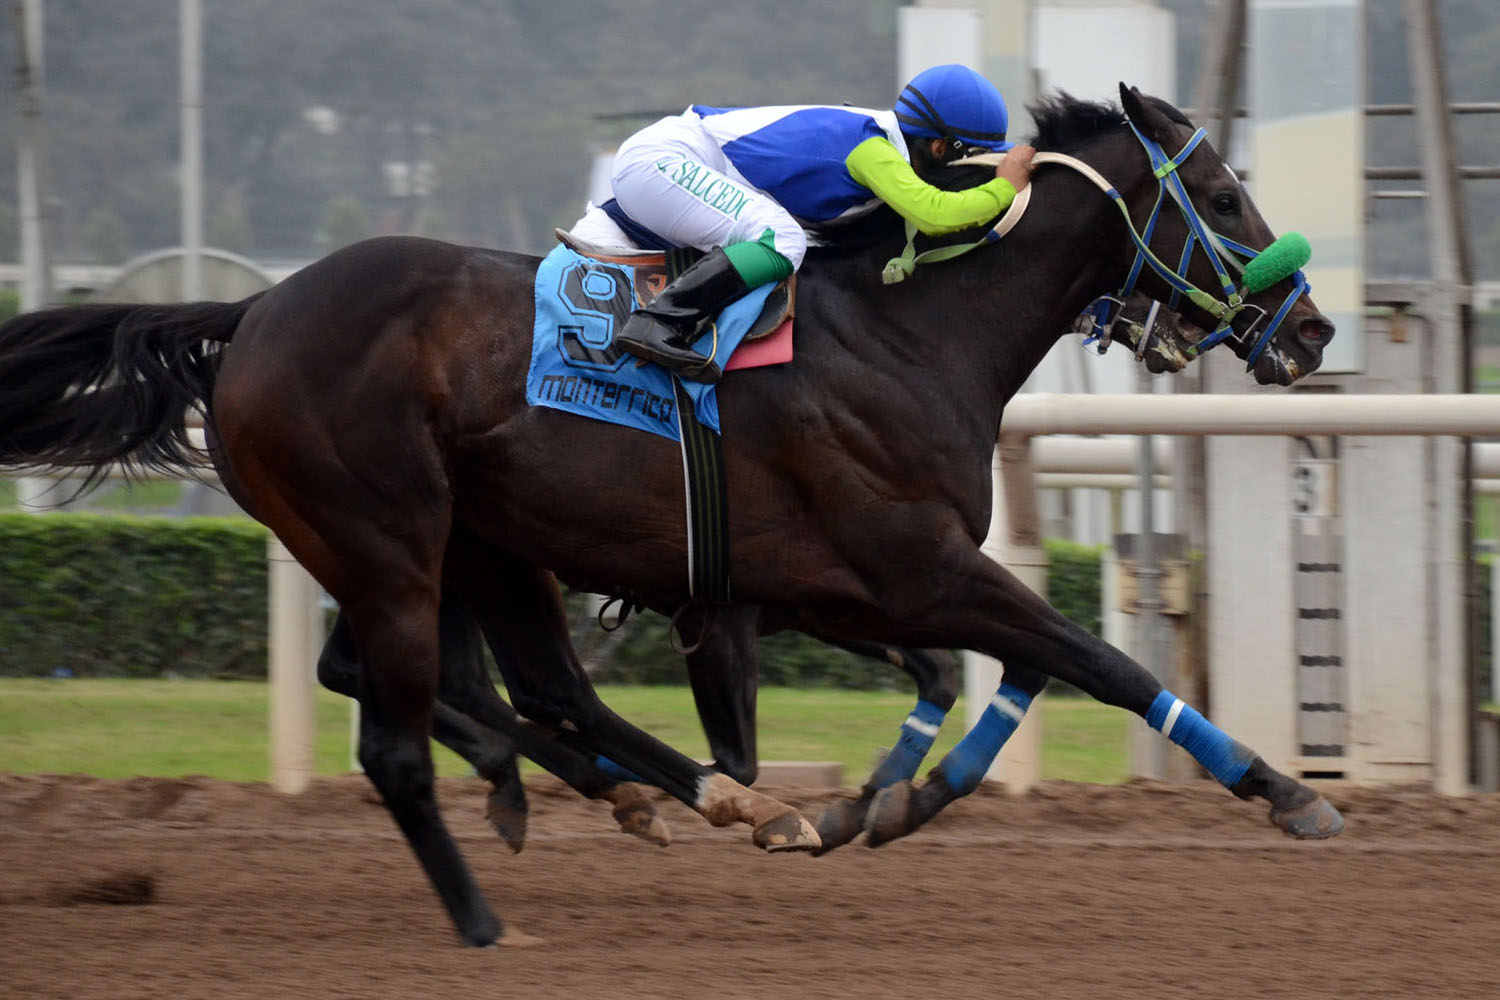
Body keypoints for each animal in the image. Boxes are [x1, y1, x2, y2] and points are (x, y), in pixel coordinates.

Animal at [0, 86, 1342, 946]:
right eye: (1220, 193)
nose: (1316, 329)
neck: (910, 330)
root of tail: (253, 314)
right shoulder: (911, 565)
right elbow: (1098, 663)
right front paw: (1287, 792)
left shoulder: (830, 584)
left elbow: (991, 673)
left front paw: (883, 800)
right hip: (390, 538)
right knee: (405, 734)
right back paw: (493, 919)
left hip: (475, 541)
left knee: (525, 691)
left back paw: (689, 799)